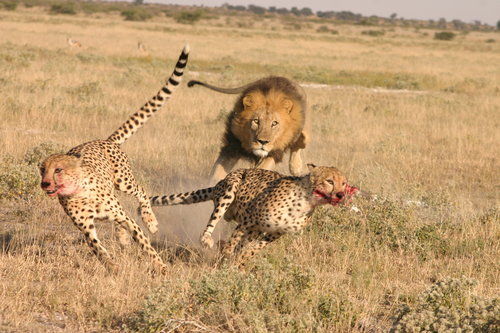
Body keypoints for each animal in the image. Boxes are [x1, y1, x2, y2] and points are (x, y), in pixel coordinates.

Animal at [39, 44, 189, 272]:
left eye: (58, 170)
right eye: (42, 170)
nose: (45, 183)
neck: (79, 191)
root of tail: (106, 140)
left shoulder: (124, 217)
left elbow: (145, 243)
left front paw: (161, 267)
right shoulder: (87, 229)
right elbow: (99, 250)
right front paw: (112, 266)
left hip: (123, 181)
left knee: (141, 191)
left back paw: (150, 221)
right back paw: (123, 238)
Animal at [150, 162, 358, 266]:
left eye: (344, 183)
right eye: (330, 181)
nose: (340, 194)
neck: (306, 201)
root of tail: (219, 183)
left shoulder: (274, 233)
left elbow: (253, 249)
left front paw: (240, 261)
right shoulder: (248, 221)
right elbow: (234, 242)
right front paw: (226, 259)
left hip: (255, 229)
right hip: (230, 191)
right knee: (213, 222)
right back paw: (208, 240)